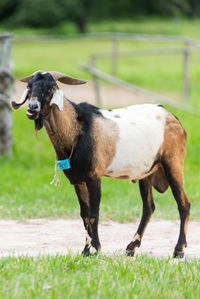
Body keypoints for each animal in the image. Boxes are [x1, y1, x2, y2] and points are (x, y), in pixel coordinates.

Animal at [12, 70, 191, 258]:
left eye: (51, 87)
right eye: (29, 86)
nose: (32, 108)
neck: (77, 131)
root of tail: (174, 118)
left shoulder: (94, 177)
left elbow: (94, 213)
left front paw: (94, 249)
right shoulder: (78, 180)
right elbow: (84, 214)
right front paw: (86, 249)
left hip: (173, 163)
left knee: (183, 204)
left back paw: (179, 250)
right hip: (146, 172)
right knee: (148, 207)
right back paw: (131, 247)